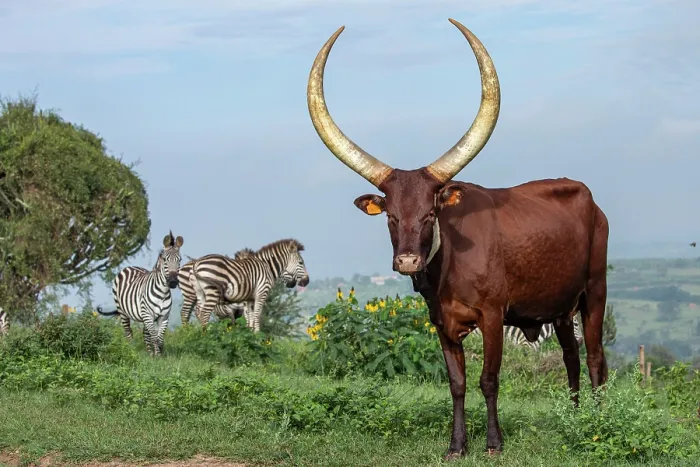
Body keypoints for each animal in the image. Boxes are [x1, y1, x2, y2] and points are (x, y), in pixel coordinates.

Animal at [306, 19, 609, 460]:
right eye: (391, 217)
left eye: (430, 214)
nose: (408, 262)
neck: (449, 266)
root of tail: (590, 199)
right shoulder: (442, 323)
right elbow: (457, 383)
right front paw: (456, 445)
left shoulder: (494, 317)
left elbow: (489, 379)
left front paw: (494, 444)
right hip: (559, 306)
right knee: (571, 356)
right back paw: (573, 416)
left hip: (595, 291)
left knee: (596, 358)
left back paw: (597, 424)